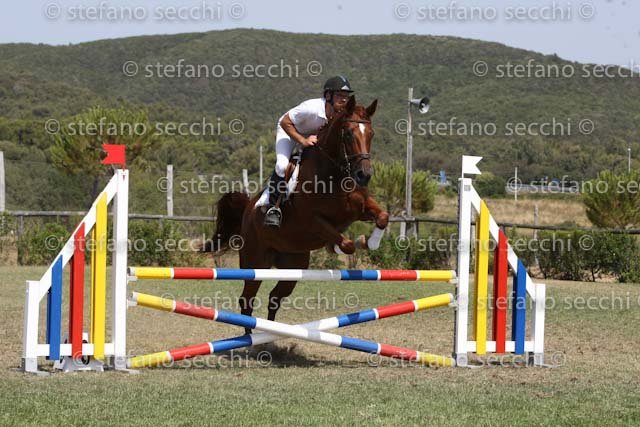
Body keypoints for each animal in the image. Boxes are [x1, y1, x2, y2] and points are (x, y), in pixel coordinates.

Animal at [207, 96, 389, 334]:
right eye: (348, 133)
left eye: (371, 134)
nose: (364, 175)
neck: (335, 174)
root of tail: (248, 208)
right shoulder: (313, 221)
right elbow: (347, 244)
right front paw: (346, 244)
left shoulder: (360, 208)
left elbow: (383, 217)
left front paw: (371, 242)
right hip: (255, 263)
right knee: (247, 300)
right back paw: (250, 337)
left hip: (293, 265)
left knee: (275, 297)